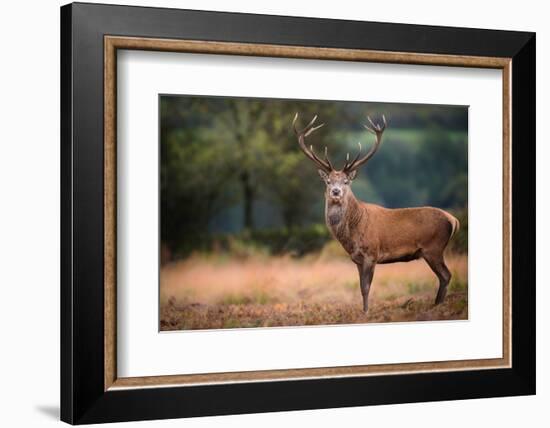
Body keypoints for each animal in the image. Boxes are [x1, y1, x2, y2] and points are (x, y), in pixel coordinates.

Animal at [294, 113, 462, 314]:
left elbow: (367, 287)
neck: (351, 234)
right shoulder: (357, 259)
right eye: (328, 181)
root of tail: (453, 220)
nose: (335, 191)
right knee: (444, 276)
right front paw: (363, 311)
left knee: (446, 275)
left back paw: (437, 307)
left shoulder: (372, 253)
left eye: (345, 181)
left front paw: (366, 312)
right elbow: (360, 287)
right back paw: (437, 306)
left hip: (434, 247)